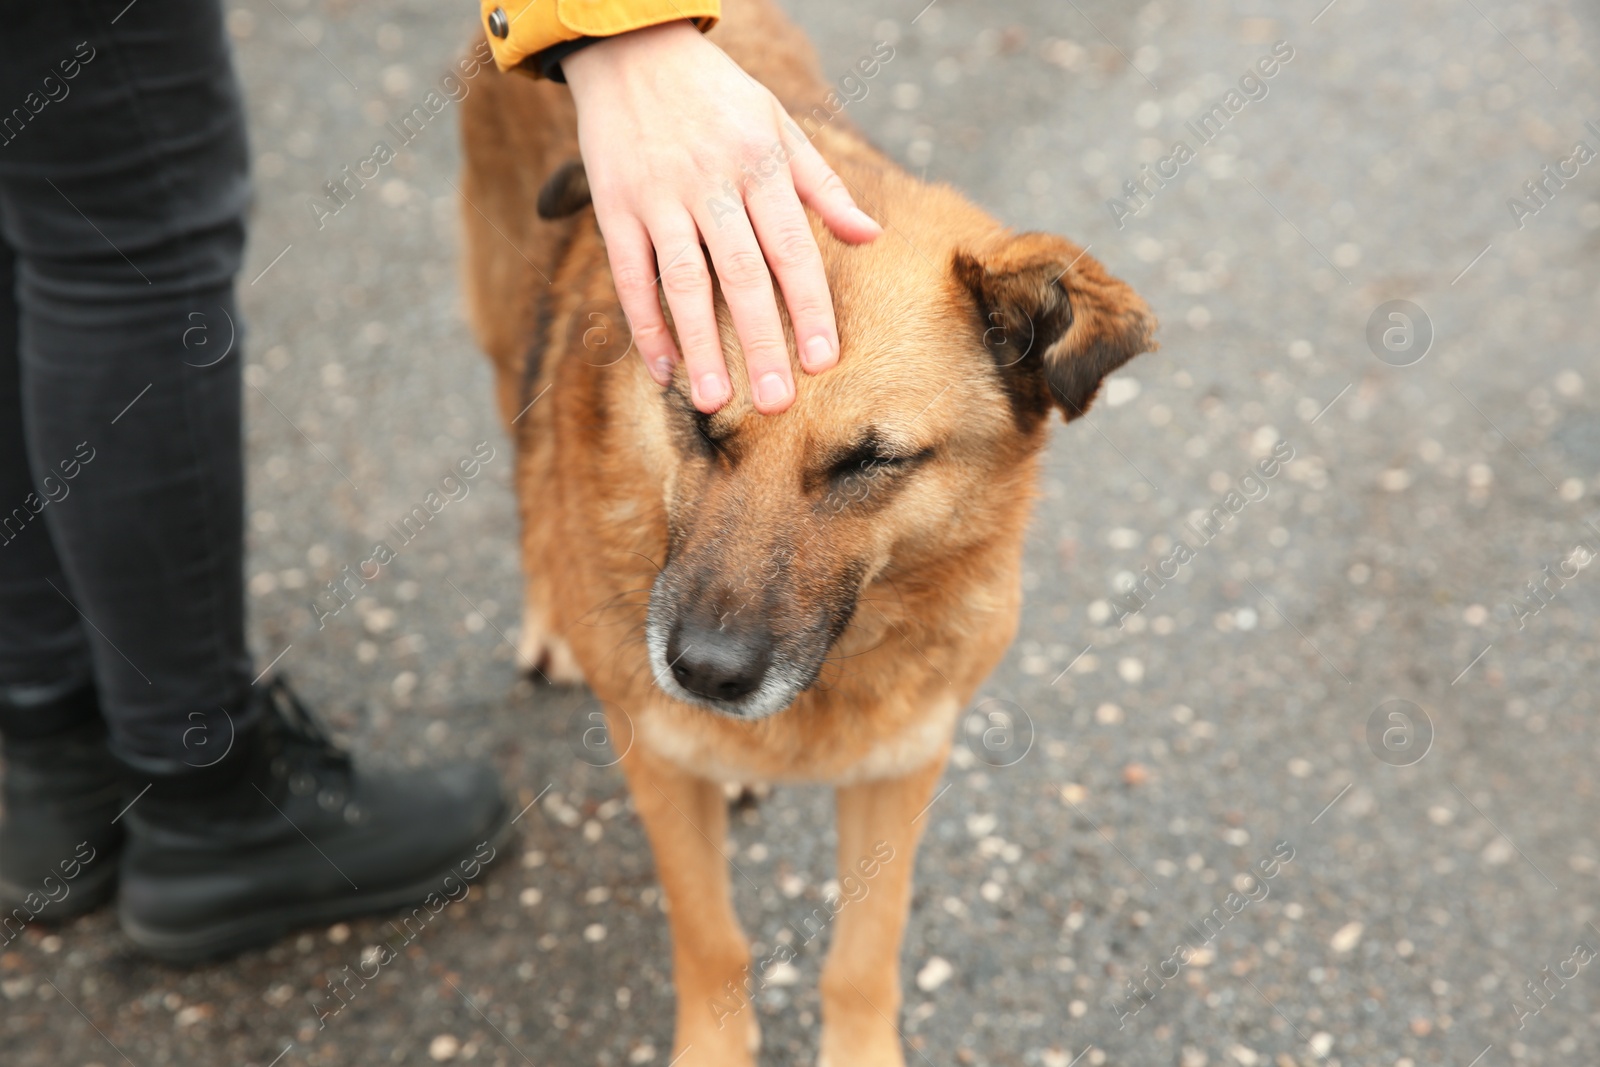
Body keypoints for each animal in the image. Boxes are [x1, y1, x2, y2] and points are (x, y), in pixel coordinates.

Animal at [460, 4, 1152, 1062]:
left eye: (870, 460)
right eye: (700, 420)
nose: (704, 673)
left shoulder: (900, 767)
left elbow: (864, 957)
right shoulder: (658, 761)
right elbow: (713, 942)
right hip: (510, 327)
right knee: (523, 454)